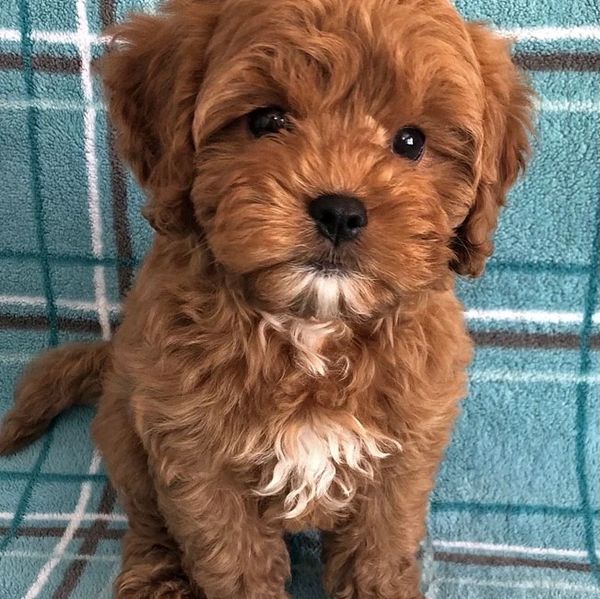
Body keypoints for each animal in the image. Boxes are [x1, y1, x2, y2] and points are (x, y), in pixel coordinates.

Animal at [0, 0, 536, 596]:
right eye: (265, 121)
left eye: (411, 142)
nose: (340, 211)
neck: (312, 329)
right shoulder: (197, 461)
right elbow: (233, 562)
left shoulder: (401, 457)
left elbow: (377, 551)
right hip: (127, 432)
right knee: (147, 520)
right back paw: (157, 576)